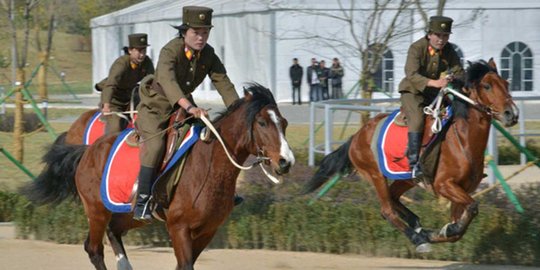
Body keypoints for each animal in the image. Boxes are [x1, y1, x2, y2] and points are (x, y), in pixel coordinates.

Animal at [22, 83, 296, 268]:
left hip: (130, 215)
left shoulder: (207, 230)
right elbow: (184, 265)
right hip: (96, 210)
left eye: (284, 123)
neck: (209, 165)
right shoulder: (179, 228)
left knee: (114, 231)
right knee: (94, 248)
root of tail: (87, 151)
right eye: (262, 123)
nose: (286, 161)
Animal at [304, 58, 520, 251]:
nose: (512, 114)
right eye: (487, 86)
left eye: (506, 84)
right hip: (376, 175)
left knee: (393, 198)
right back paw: (418, 238)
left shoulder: (462, 189)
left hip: (406, 178)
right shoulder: (444, 185)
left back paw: (417, 225)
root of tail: (357, 136)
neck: (463, 140)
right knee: (387, 210)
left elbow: (458, 228)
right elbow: (472, 208)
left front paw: (439, 231)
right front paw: (435, 233)